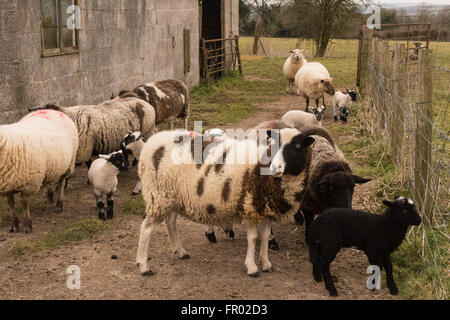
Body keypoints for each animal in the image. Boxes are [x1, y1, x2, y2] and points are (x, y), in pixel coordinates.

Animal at [134, 126, 334, 276]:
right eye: (274, 144)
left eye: (297, 146)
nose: (275, 167)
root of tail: (151, 142)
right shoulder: (250, 205)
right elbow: (253, 238)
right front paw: (252, 268)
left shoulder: (267, 209)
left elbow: (265, 236)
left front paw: (266, 263)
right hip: (158, 195)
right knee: (146, 228)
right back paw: (144, 266)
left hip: (172, 196)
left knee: (171, 222)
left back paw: (180, 251)